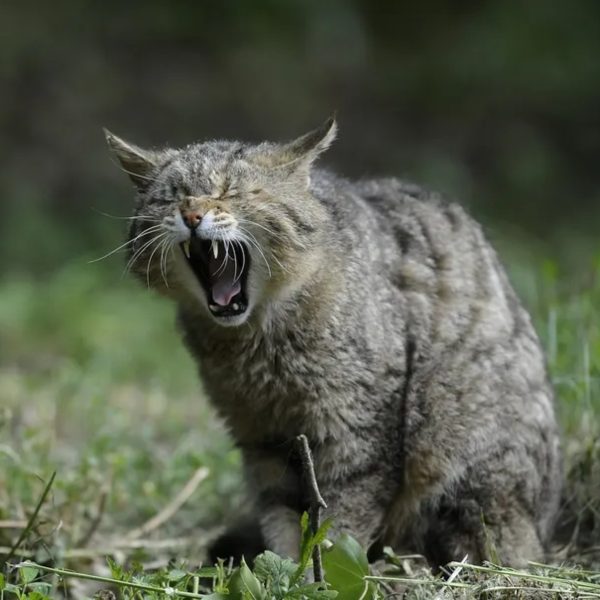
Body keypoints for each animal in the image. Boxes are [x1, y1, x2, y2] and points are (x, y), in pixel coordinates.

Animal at [105, 117, 560, 568]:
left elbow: (339, 525)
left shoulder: (357, 431)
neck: (255, 344)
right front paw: (285, 572)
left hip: (463, 451)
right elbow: (284, 519)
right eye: (171, 197)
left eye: (229, 191)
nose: (192, 213)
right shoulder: (262, 436)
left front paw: (320, 572)